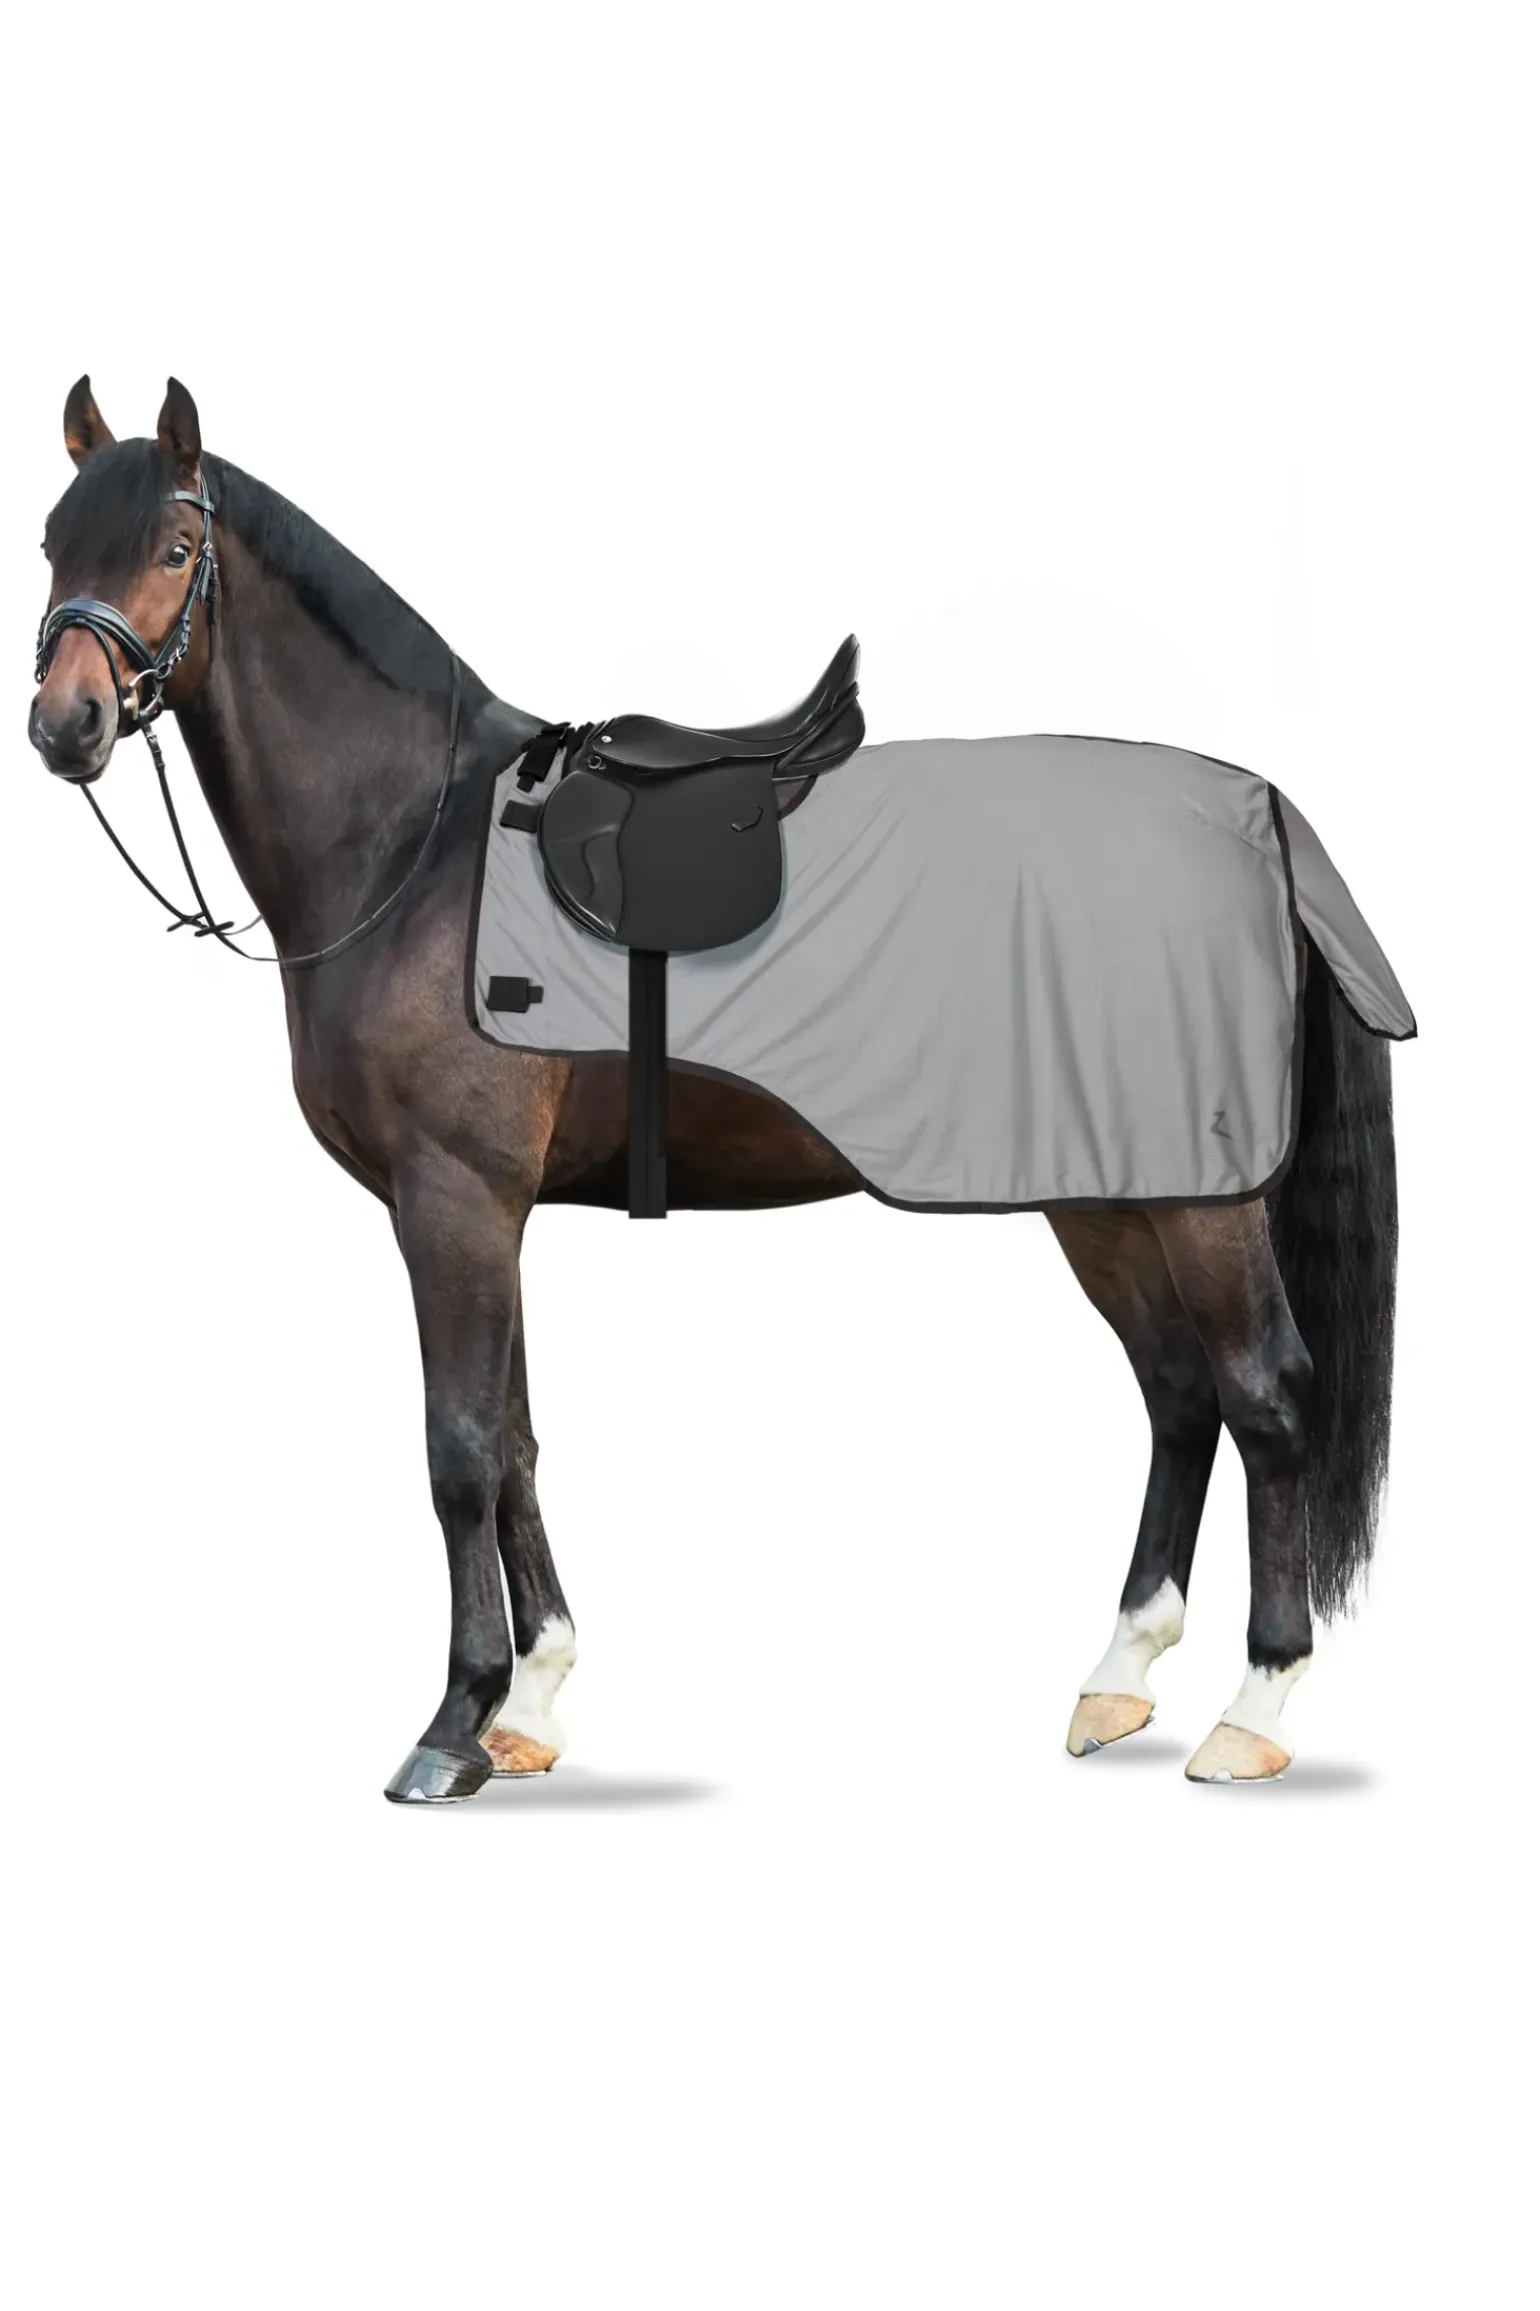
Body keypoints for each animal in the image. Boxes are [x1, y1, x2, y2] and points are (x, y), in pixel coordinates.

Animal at [28, 376, 1401, 1802]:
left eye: (171, 550)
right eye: (53, 545)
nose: (66, 725)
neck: (415, 843)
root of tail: (1262, 821)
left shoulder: (452, 1200)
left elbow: (458, 1449)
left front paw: (454, 1722)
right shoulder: (489, 1212)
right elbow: (516, 1439)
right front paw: (533, 1700)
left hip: (1200, 1200)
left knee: (1267, 1397)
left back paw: (1255, 1705)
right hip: (1103, 1193)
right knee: (1180, 1394)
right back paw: (1119, 1677)